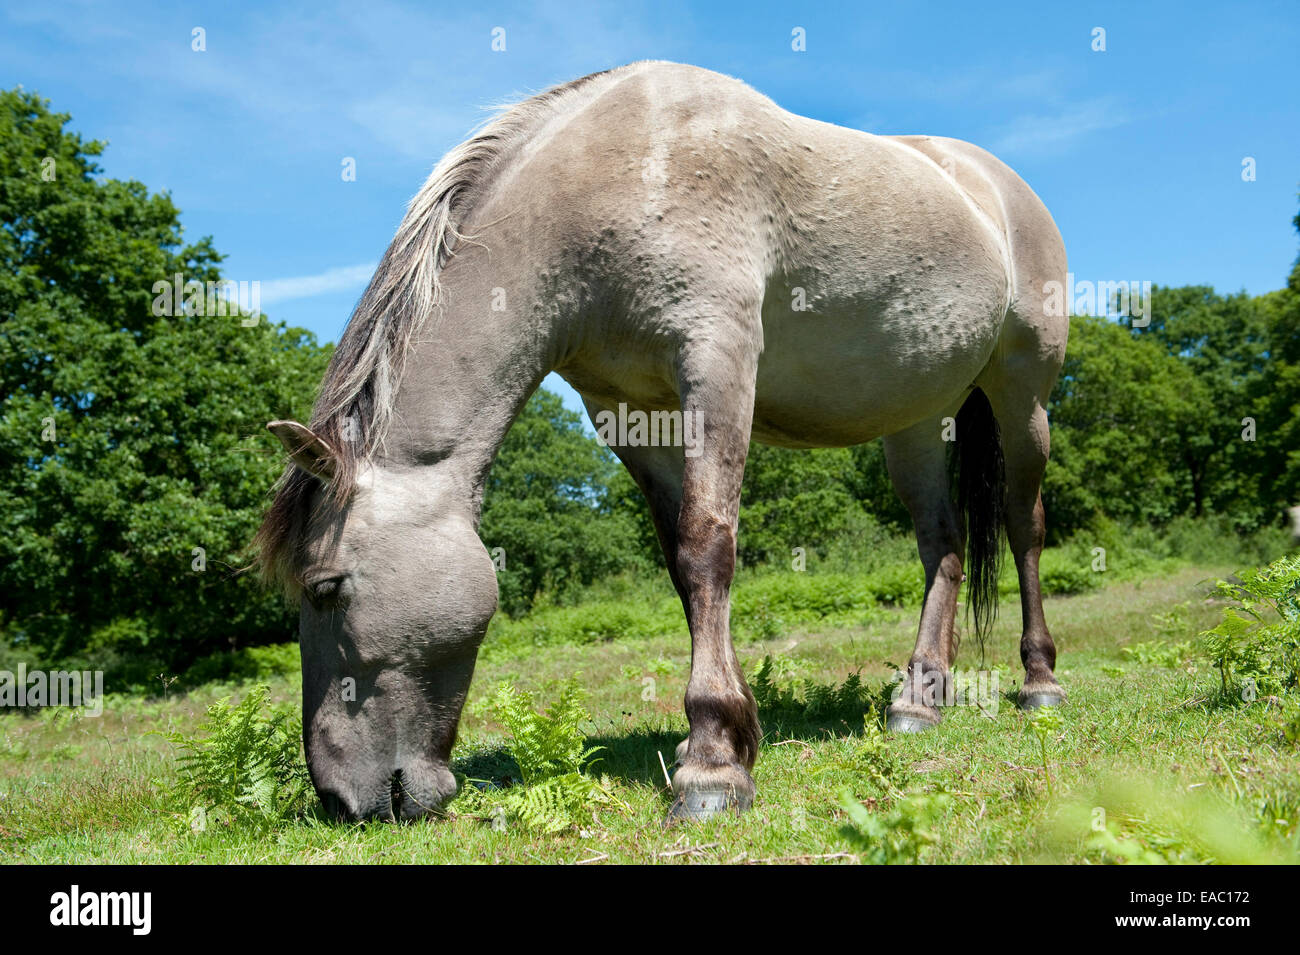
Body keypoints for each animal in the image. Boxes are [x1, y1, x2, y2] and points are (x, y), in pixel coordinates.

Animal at [253, 59, 1066, 826]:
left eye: (326, 588)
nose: (339, 798)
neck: (618, 175)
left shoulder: (718, 361)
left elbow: (709, 547)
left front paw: (711, 768)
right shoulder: (629, 414)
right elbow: (682, 563)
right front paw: (735, 731)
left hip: (1023, 397)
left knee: (1022, 527)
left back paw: (1039, 682)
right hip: (918, 421)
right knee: (944, 546)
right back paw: (918, 700)